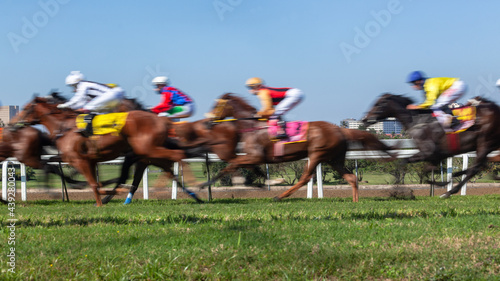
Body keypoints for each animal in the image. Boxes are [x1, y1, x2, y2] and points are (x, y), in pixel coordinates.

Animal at [17, 96, 201, 206]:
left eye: (25, 108)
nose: (16, 123)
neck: (65, 126)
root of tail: (161, 121)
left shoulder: (80, 160)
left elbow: (94, 183)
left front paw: (100, 201)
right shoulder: (82, 159)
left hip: (147, 150)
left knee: (175, 158)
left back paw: (195, 186)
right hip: (148, 152)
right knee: (169, 168)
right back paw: (194, 194)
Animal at [197, 92, 396, 201]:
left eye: (216, 105)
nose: (207, 121)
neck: (252, 126)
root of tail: (340, 129)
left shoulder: (256, 156)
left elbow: (231, 165)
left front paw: (204, 184)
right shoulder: (254, 157)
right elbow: (246, 168)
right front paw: (270, 182)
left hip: (317, 153)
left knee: (305, 177)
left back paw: (280, 196)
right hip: (334, 159)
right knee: (351, 178)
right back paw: (355, 201)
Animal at [362, 93, 500, 198]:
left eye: (378, 104)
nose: (364, 119)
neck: (417, 121)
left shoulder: (428, 152)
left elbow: (419, 169)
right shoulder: (435, 156)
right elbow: (411, 166)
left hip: (484, 142)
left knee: (475, 168)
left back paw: (449, 192)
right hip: (485, 146)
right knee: (479, 166)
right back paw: (456, 177)